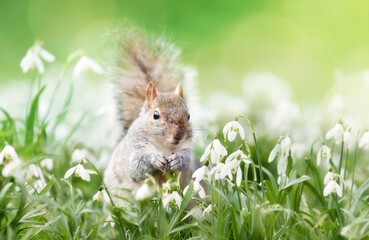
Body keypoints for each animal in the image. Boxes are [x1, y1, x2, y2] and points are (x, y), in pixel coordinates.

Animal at [103, 28, 194, 201]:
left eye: (188, 115)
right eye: (155, 115)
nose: (178, 135)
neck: (165, 146)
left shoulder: (187, 151)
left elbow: (186, 169)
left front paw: (177, 160)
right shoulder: (134, 149)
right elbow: (135, 166)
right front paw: (155, 159)